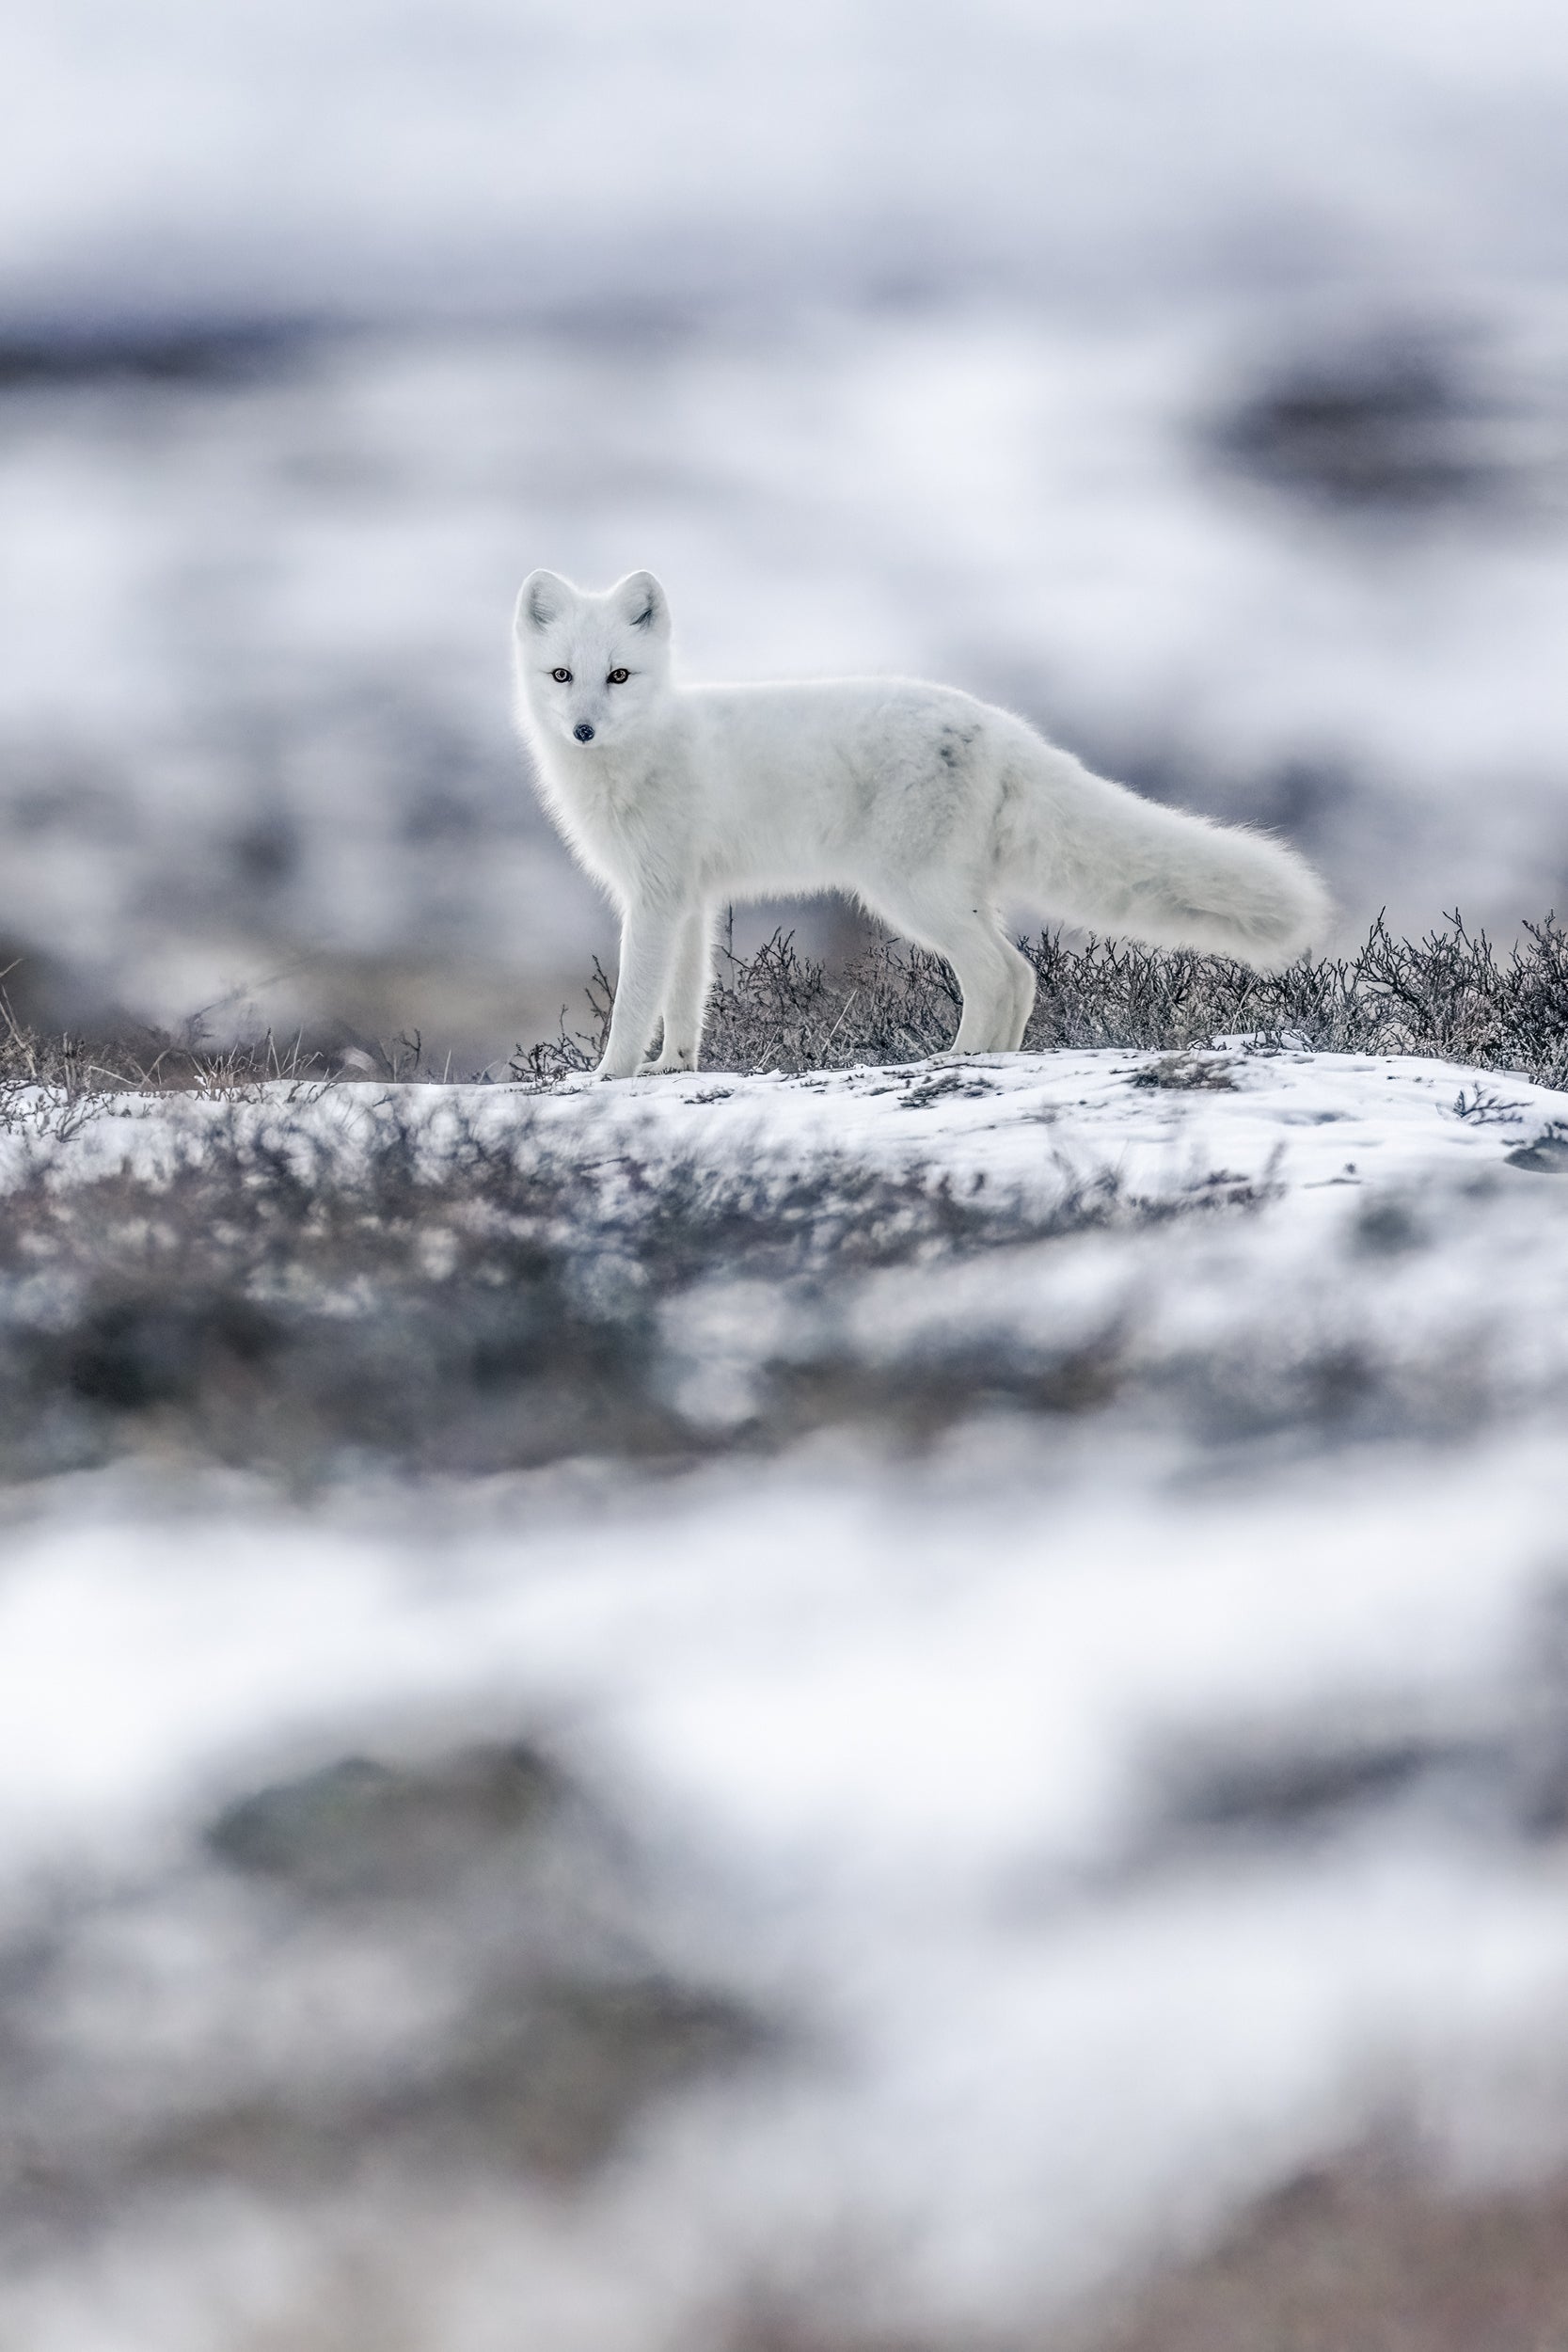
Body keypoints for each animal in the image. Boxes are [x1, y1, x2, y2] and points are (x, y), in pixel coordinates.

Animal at [513, 569, 1330, 1080]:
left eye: (619, 675)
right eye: (562, 675)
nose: (582, 730)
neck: (644, 749)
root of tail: (994, 724)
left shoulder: (653, 900)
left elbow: (634, 1001)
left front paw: (608, 1075)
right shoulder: (689, 900)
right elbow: (685, 1001)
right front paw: (671, 1067)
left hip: (908, 892)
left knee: (997, 973)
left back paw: (957, 1059)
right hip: (947, 892)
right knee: (1023, 972)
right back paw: (992, 1059)